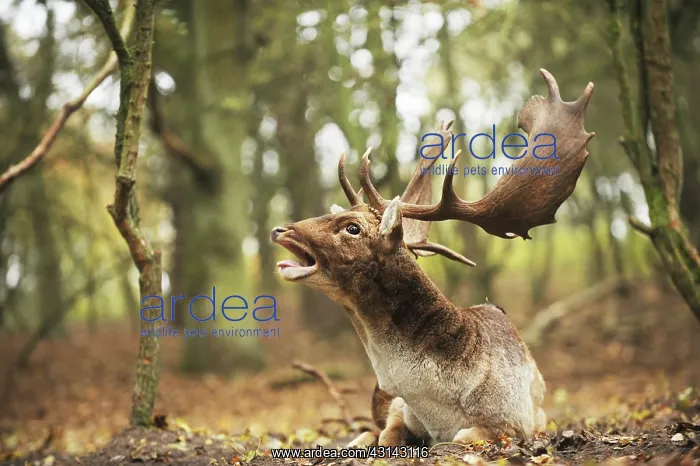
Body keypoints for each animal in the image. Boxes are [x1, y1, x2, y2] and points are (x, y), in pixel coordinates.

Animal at [271, 69, 594, 447]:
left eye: (352, 228)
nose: (281, 230)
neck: (439, 407)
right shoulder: (399, 407)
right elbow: (384, 435)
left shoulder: (518, 422)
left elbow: (463, 437)